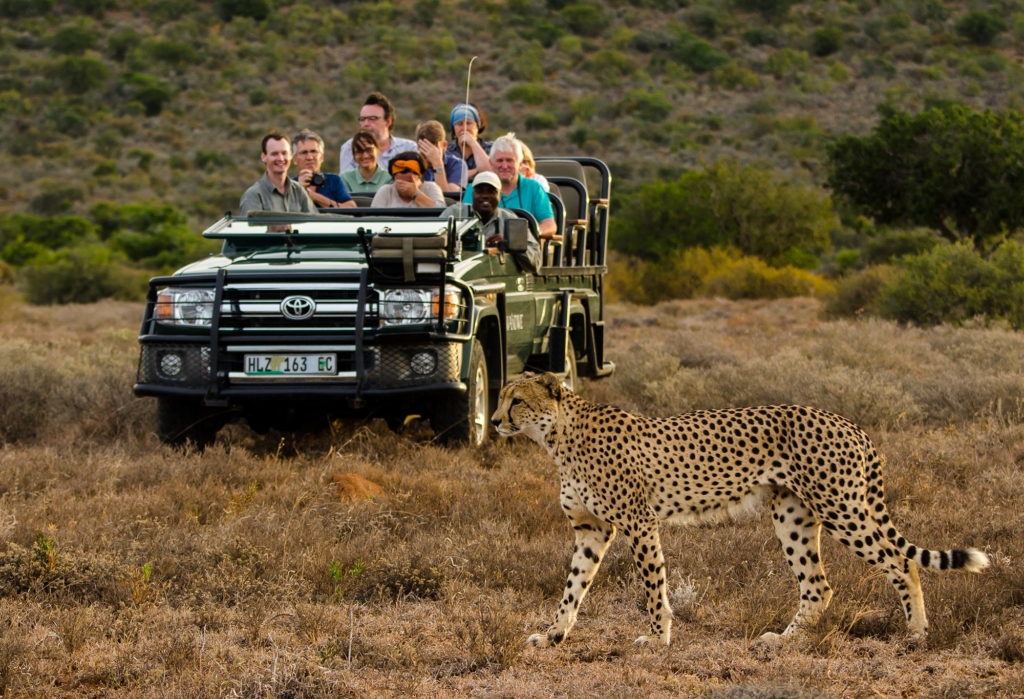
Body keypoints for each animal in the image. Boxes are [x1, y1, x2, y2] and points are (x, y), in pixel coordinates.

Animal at [490, 372, 990, 648]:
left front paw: (657, 638)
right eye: (498, 397)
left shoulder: (638, 522)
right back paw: (785, 641)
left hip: (842, 508)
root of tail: (848, 422)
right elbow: (573, 588)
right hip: (793, 516)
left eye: (517, 400)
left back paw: (917, 633)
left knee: (902, 562)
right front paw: (553, 635)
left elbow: (653, 587)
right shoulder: (591, 530)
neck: (558, 437)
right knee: (819, 585)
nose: (493, 421)